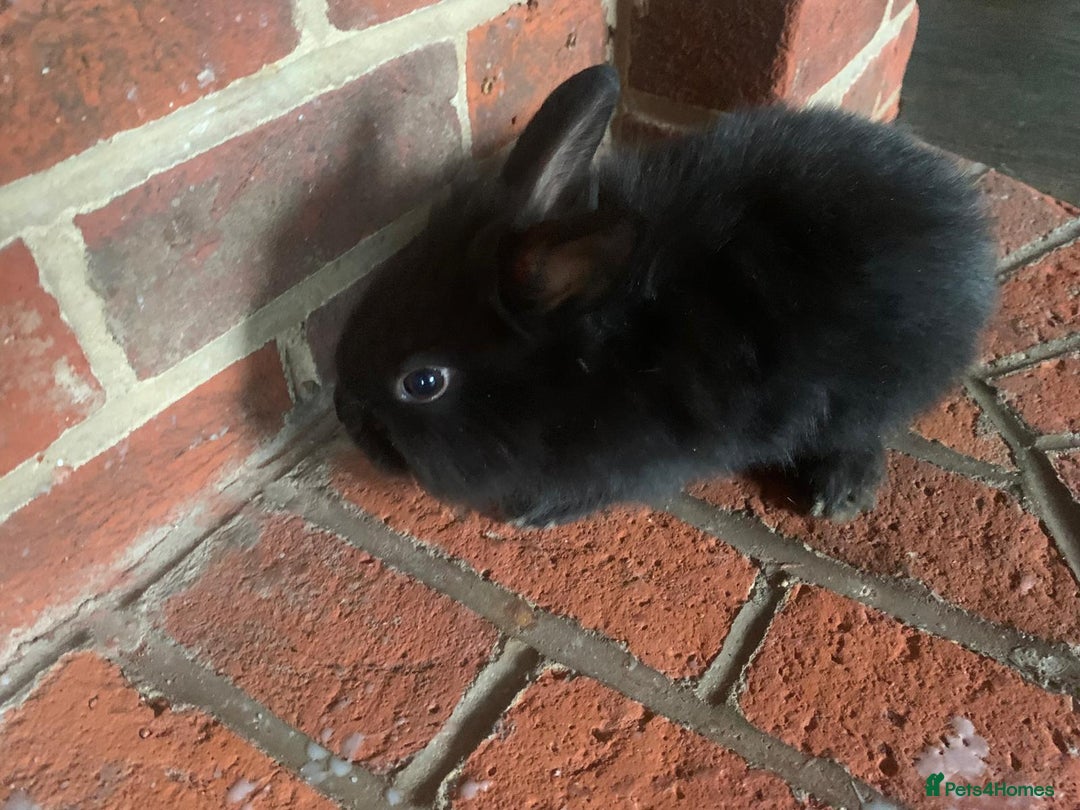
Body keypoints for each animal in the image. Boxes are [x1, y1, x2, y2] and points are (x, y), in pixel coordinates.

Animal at [333, 64, 996, 528]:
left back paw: (840, 491)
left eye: (422, 383)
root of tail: (967, 234)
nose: (345, 415)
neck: (593, 357)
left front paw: (536, 512)